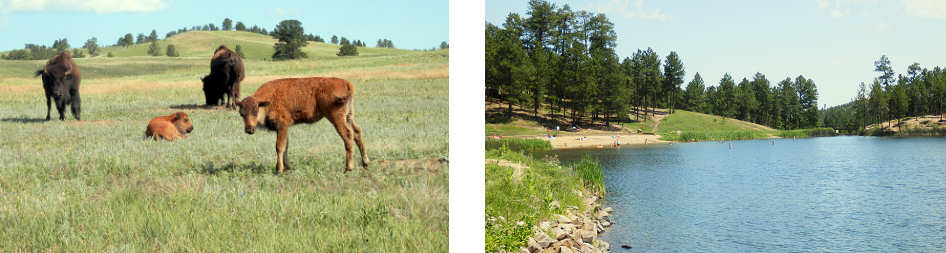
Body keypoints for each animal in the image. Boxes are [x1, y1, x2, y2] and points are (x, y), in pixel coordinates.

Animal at [236, 76, 368, 173]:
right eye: (241, 114)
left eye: (255, 111)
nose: (249, 130)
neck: (267, 101)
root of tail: (346, 83)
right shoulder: (283, 129)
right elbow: (286, 147)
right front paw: (287, 168)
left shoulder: (282, 125)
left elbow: (279, 147)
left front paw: (279, 170)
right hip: (349, 116)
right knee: (357, 132)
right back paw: (365, 163)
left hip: (336, 118)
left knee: (348, 135)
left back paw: (348, 169)